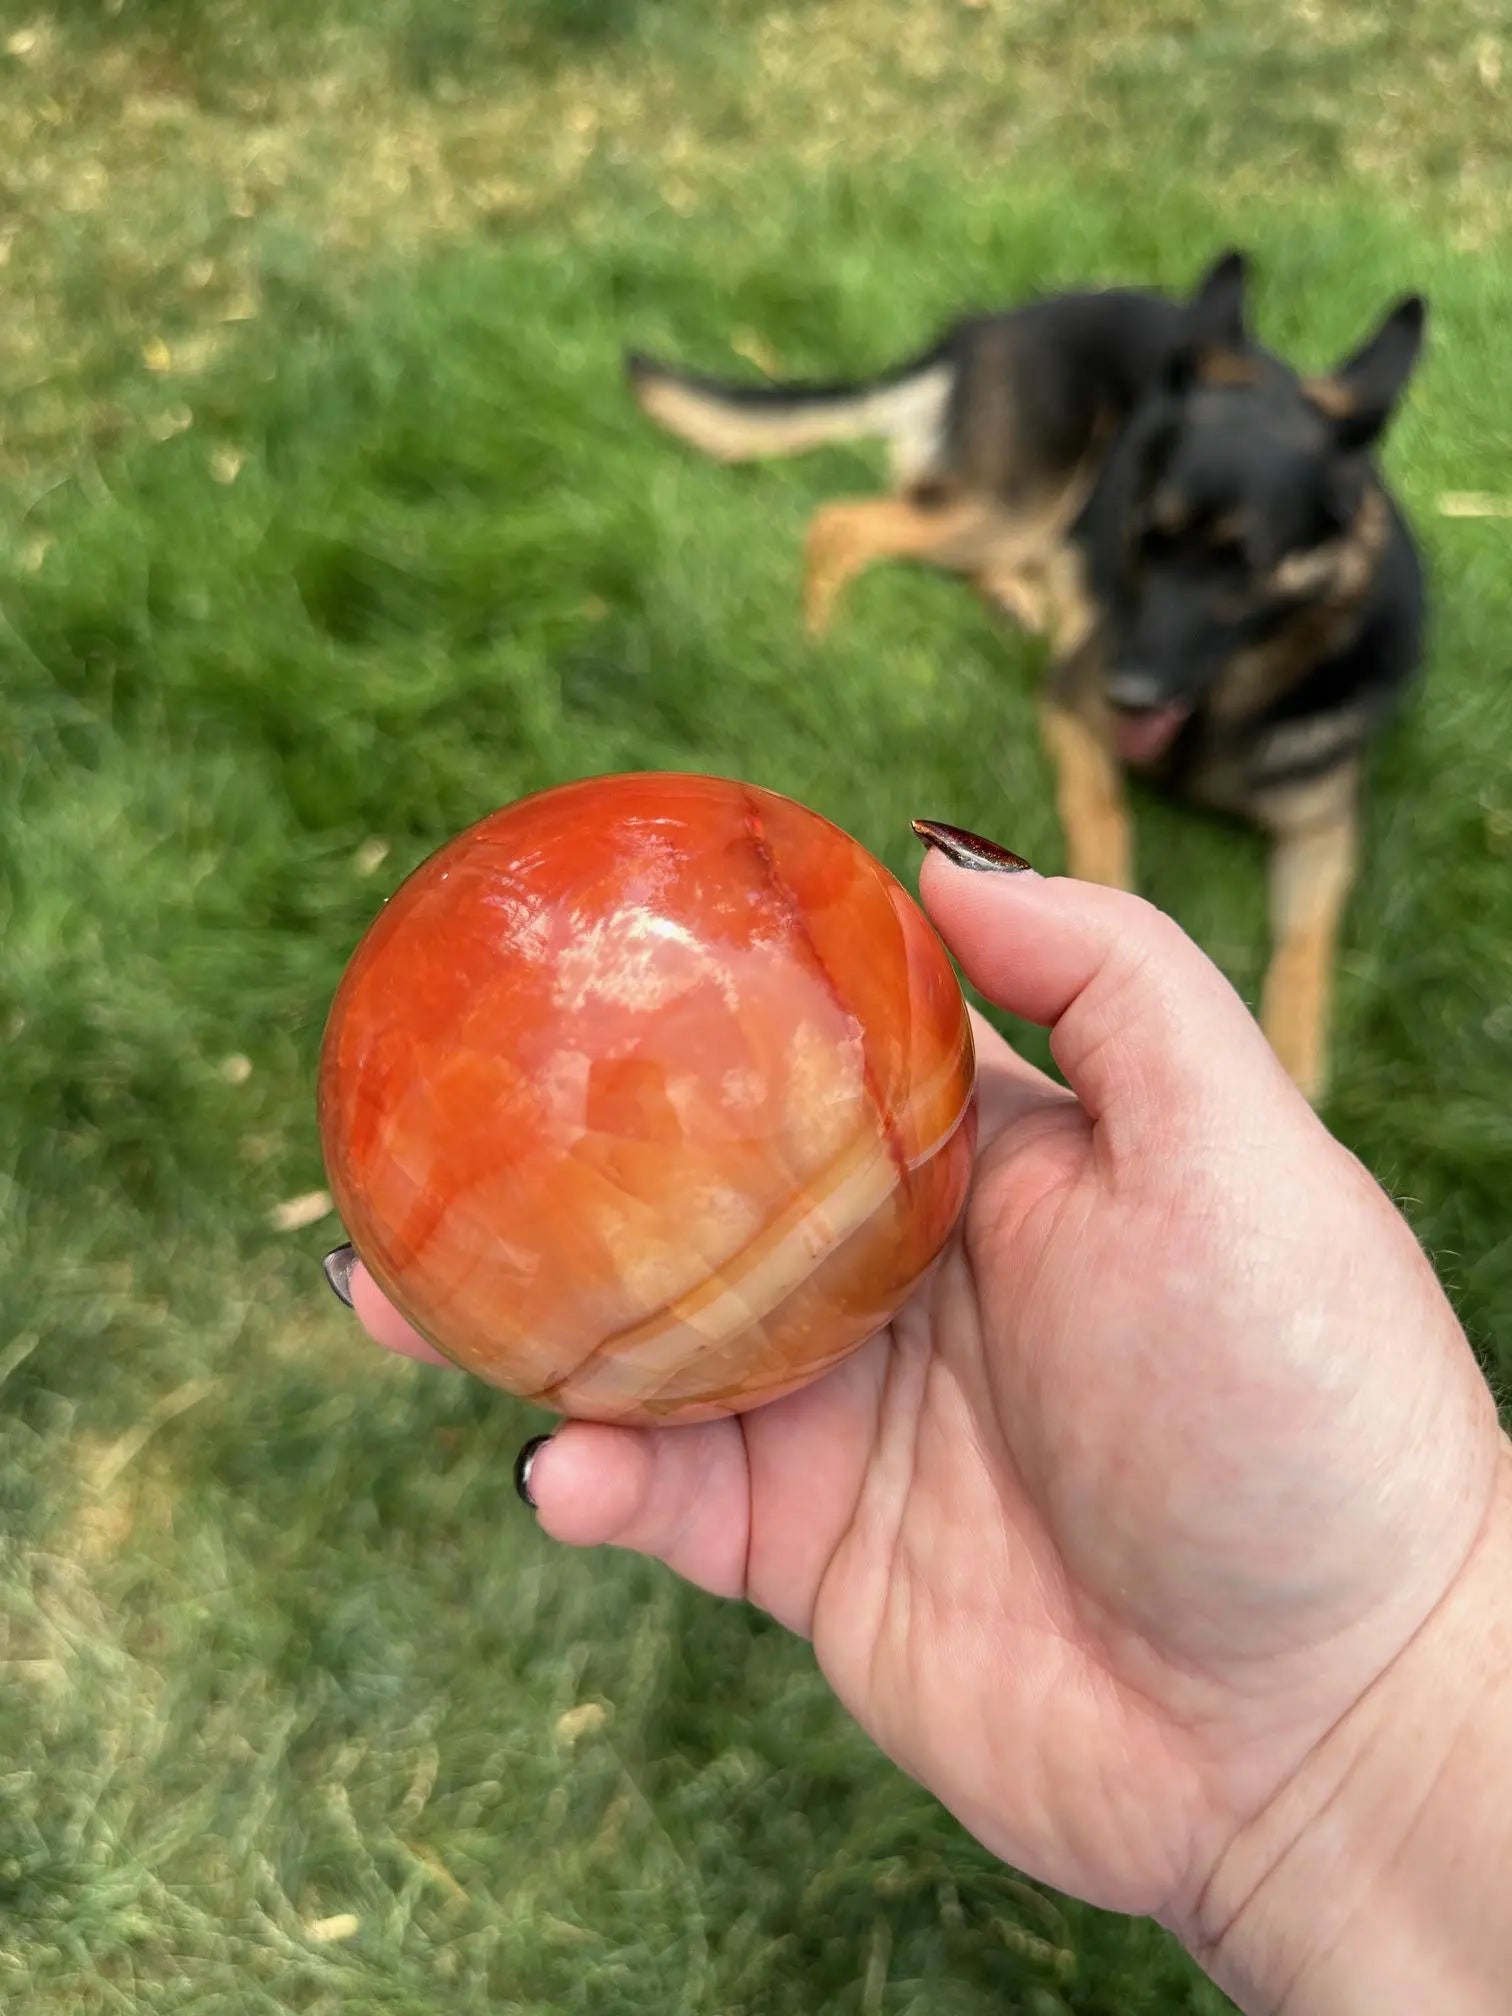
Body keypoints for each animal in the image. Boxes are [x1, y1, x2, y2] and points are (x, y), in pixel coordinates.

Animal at [628, 254, 1435, 1112]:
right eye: (1143, 540)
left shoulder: (1324, 820)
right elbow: (1105, 810)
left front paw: (1296, 1057)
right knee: (844, 522)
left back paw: (1020, 601)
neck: (1221, 707)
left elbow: (1308, 939)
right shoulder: (1073, 707)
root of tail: (990, 324)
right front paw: (1107, 894)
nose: (1127, 691)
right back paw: (821, 638)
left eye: (1239, 564)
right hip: (1019, 500)